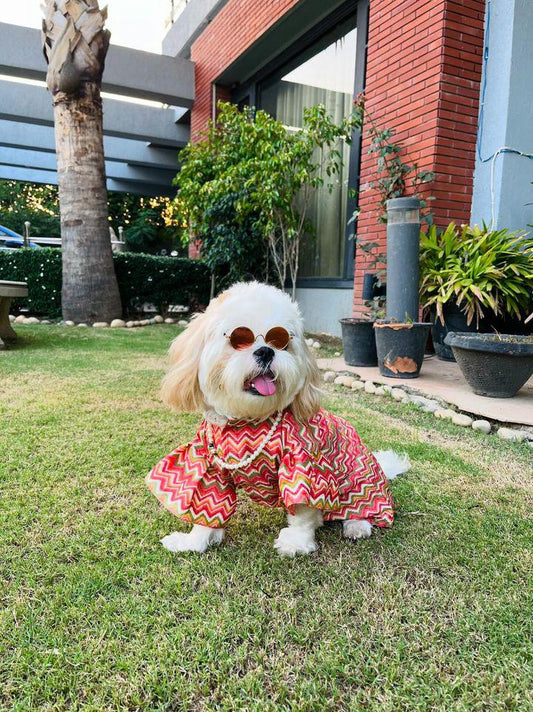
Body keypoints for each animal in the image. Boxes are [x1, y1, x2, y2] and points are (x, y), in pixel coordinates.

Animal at [145, 282, 408, 556]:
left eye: (281, 341)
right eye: (239, 338)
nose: (265, 351)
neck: (247, 422)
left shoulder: (302, 464)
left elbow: (303, 512)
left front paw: (296, 542)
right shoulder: (211, 468)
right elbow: (206, 508)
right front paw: (194, 542)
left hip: (359, 479)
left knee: (360, 507)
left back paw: (357, 525)